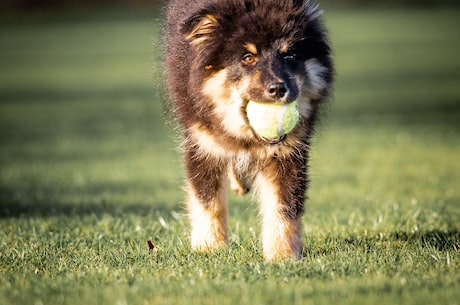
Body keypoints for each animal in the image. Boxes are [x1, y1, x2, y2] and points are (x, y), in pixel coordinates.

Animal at [164, 0, 332, 260]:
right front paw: (210, 247)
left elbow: (283, 207)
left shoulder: (288, 153)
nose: (278, 89)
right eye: (248, 58)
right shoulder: (203, 143)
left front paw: (282, 255)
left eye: (290, 56)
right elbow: (208, 202)